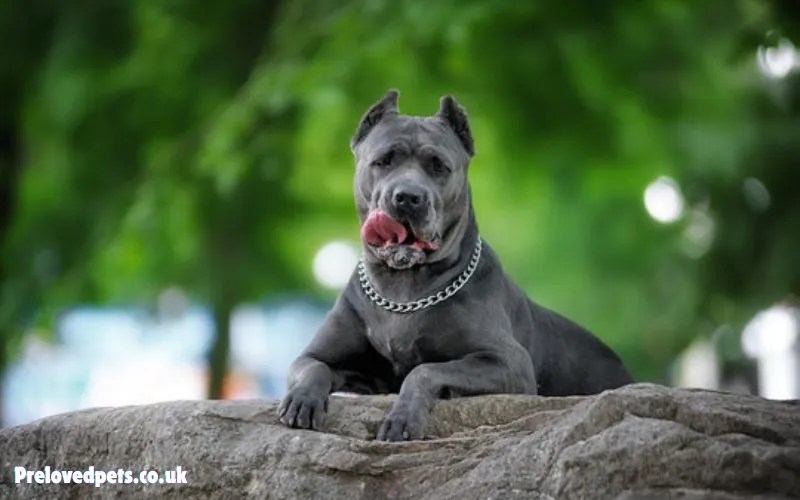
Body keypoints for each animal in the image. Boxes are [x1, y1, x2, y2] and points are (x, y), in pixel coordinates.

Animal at [278, 90, 636, 442]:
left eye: (438, 166)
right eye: (384, 160)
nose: (408, 197)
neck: (403, 289)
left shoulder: (509, 362)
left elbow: (425, 370)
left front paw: (403, 418)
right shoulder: (318, 355)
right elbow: (314, 367)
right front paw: (302, 399)